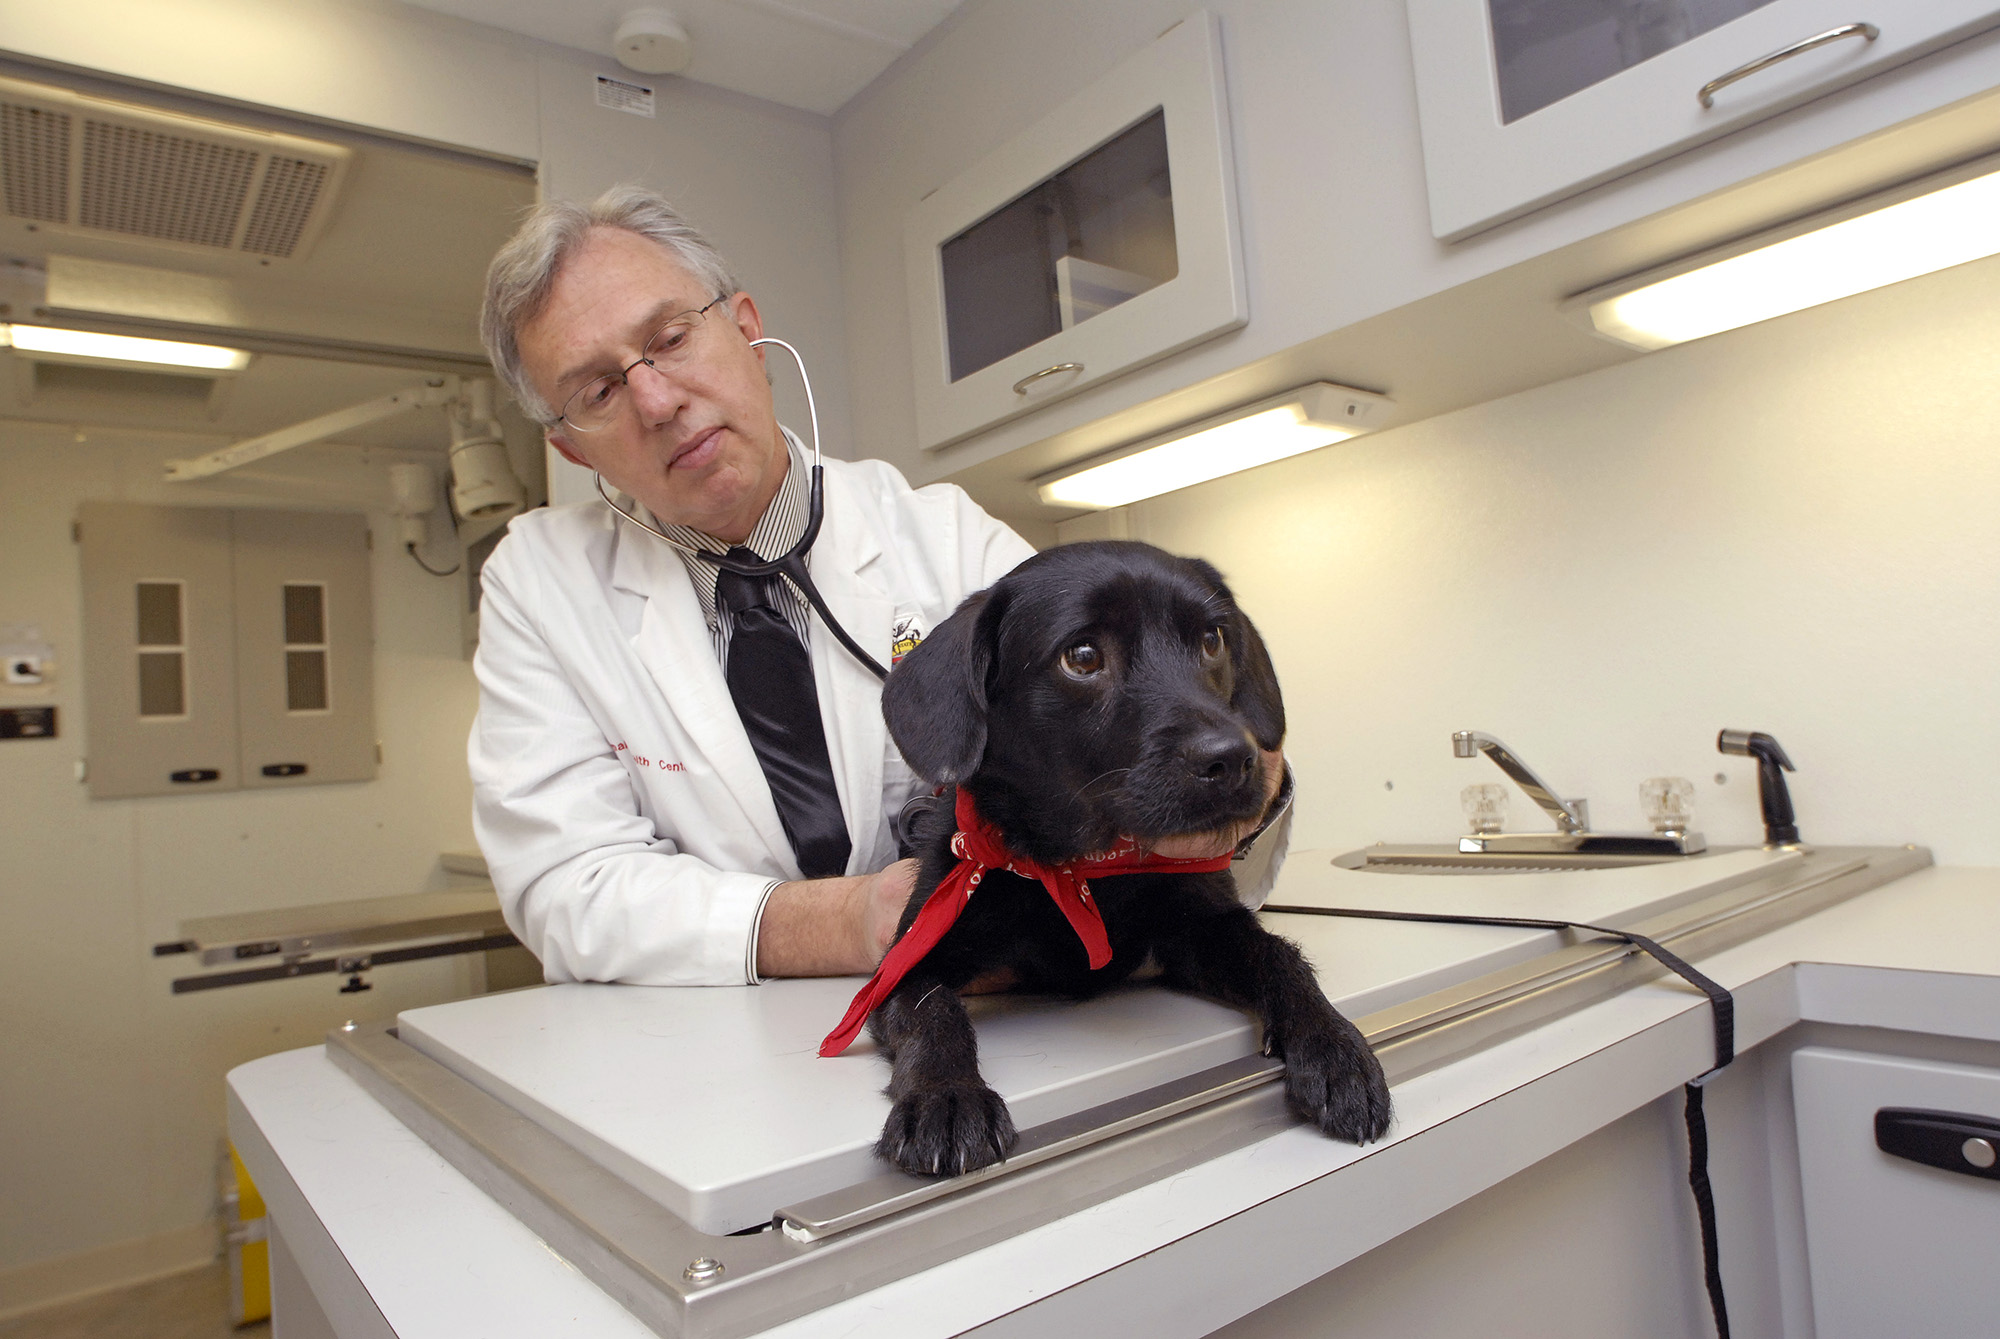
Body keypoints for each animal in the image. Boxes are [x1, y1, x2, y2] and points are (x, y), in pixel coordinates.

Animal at [860, 543, 1392, 1175]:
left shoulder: (1198, 931)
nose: (1234, 759)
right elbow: (931, 1010)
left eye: (1212, 639)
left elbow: (1280, 956)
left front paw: (1335, 1046)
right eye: (1083, 656)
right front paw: (946, 1095)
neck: (1084, 869)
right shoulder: (904, 962)